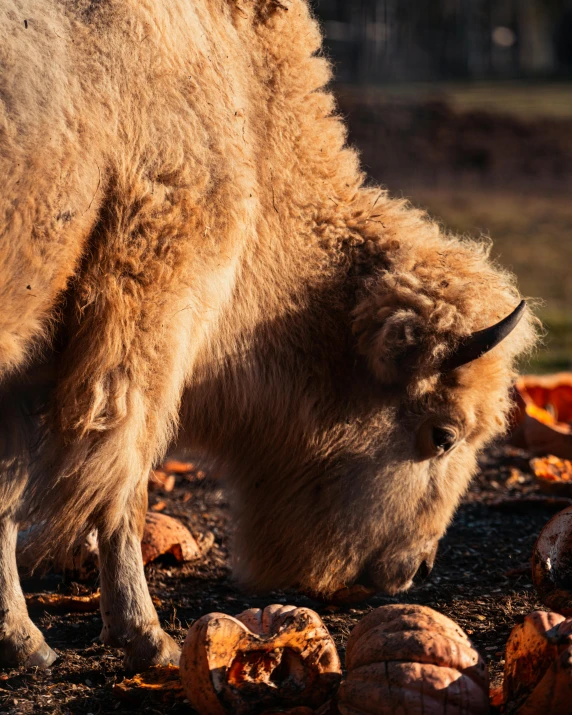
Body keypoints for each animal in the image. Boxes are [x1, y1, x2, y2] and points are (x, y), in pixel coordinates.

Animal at [0, 0, 536, 672]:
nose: (416, 570)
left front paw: (21, 638)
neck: (248, 115)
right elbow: (123, 484)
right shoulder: (148, 327)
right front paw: (148, 639)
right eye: (443, 435)